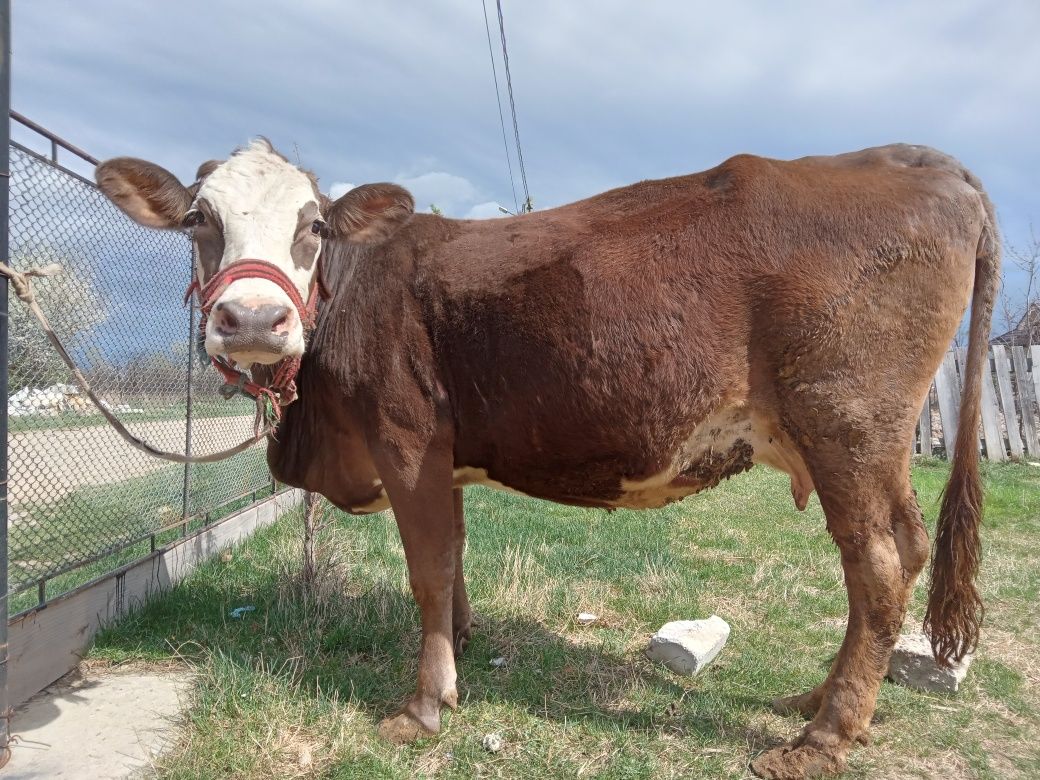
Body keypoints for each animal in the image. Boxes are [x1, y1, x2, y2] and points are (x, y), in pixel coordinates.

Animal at [97, 142, 998, 780]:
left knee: (877, 563)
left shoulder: (406, 439)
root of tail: (910, 157)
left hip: (847, 423)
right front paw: (460, 643)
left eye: (312, 225)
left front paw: (425, 705)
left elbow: (427, 565)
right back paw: (821, 697)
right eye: (198, 220)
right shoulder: (445, 458)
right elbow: (453, 559)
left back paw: (822, 736)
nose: (253, 318)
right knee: (904, 551)